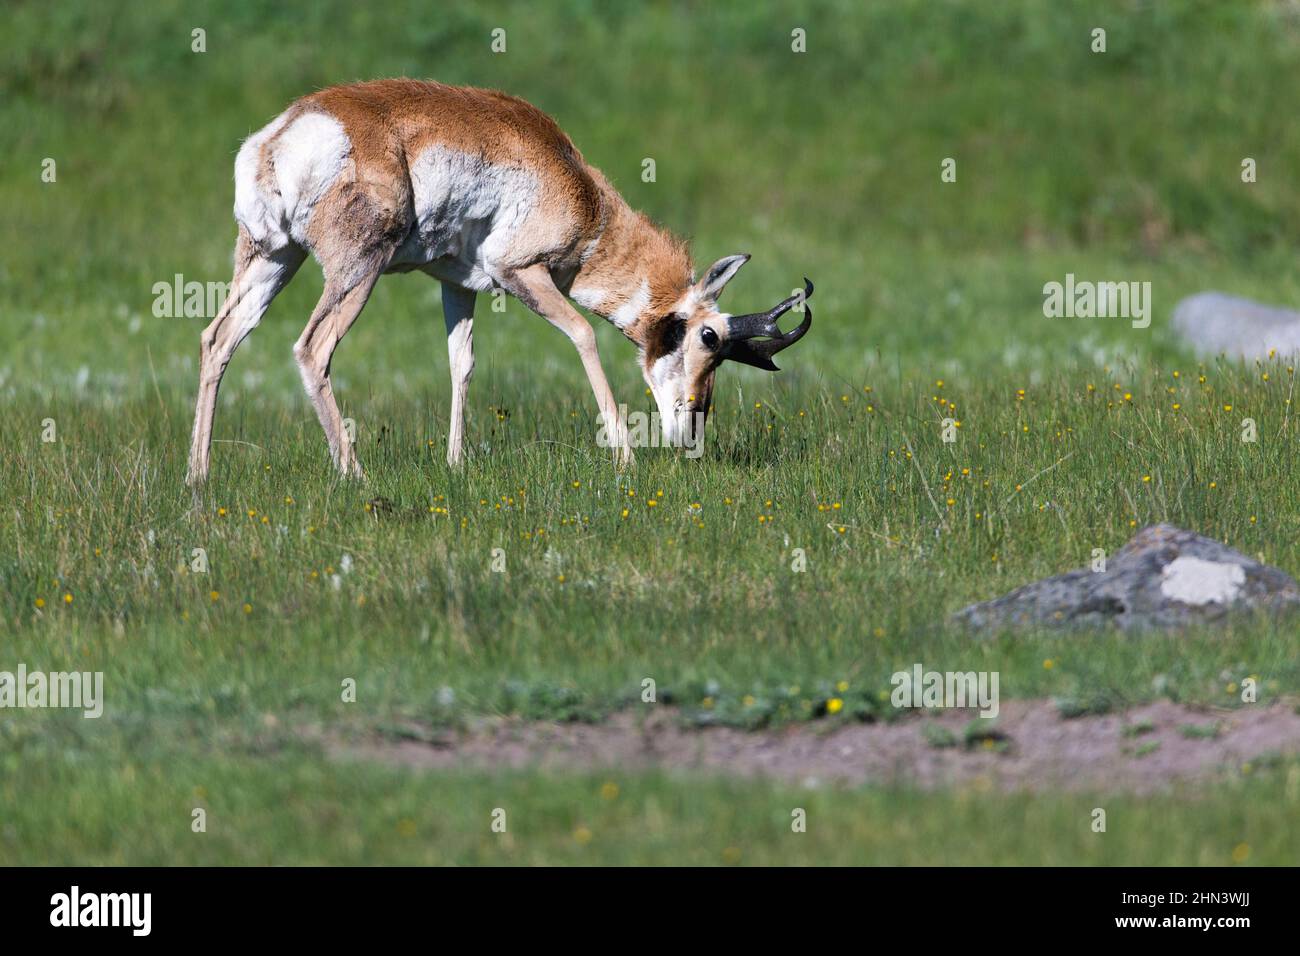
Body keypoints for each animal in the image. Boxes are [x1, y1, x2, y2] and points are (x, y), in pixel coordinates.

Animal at [186, 79, 813, 484]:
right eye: (709, 337)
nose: (693, 431)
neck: (581, 192)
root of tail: (284, 135)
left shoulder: (457, 285)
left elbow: (461, 363)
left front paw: (456, 463)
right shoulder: (521, 273)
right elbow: (583, 335)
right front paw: (624, 455)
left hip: (274, 258)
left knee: (219, 338)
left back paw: (198, 478)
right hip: (355, 269)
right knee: (312, 349)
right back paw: (356, 476)